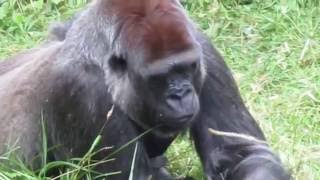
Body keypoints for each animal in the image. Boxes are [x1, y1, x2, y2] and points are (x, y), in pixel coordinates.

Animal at [0, 0, 290, 179]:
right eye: (160, 76)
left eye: (188, 67)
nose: (181, 94)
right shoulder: (81, 89)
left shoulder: (203, 47)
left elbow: (241, 155)